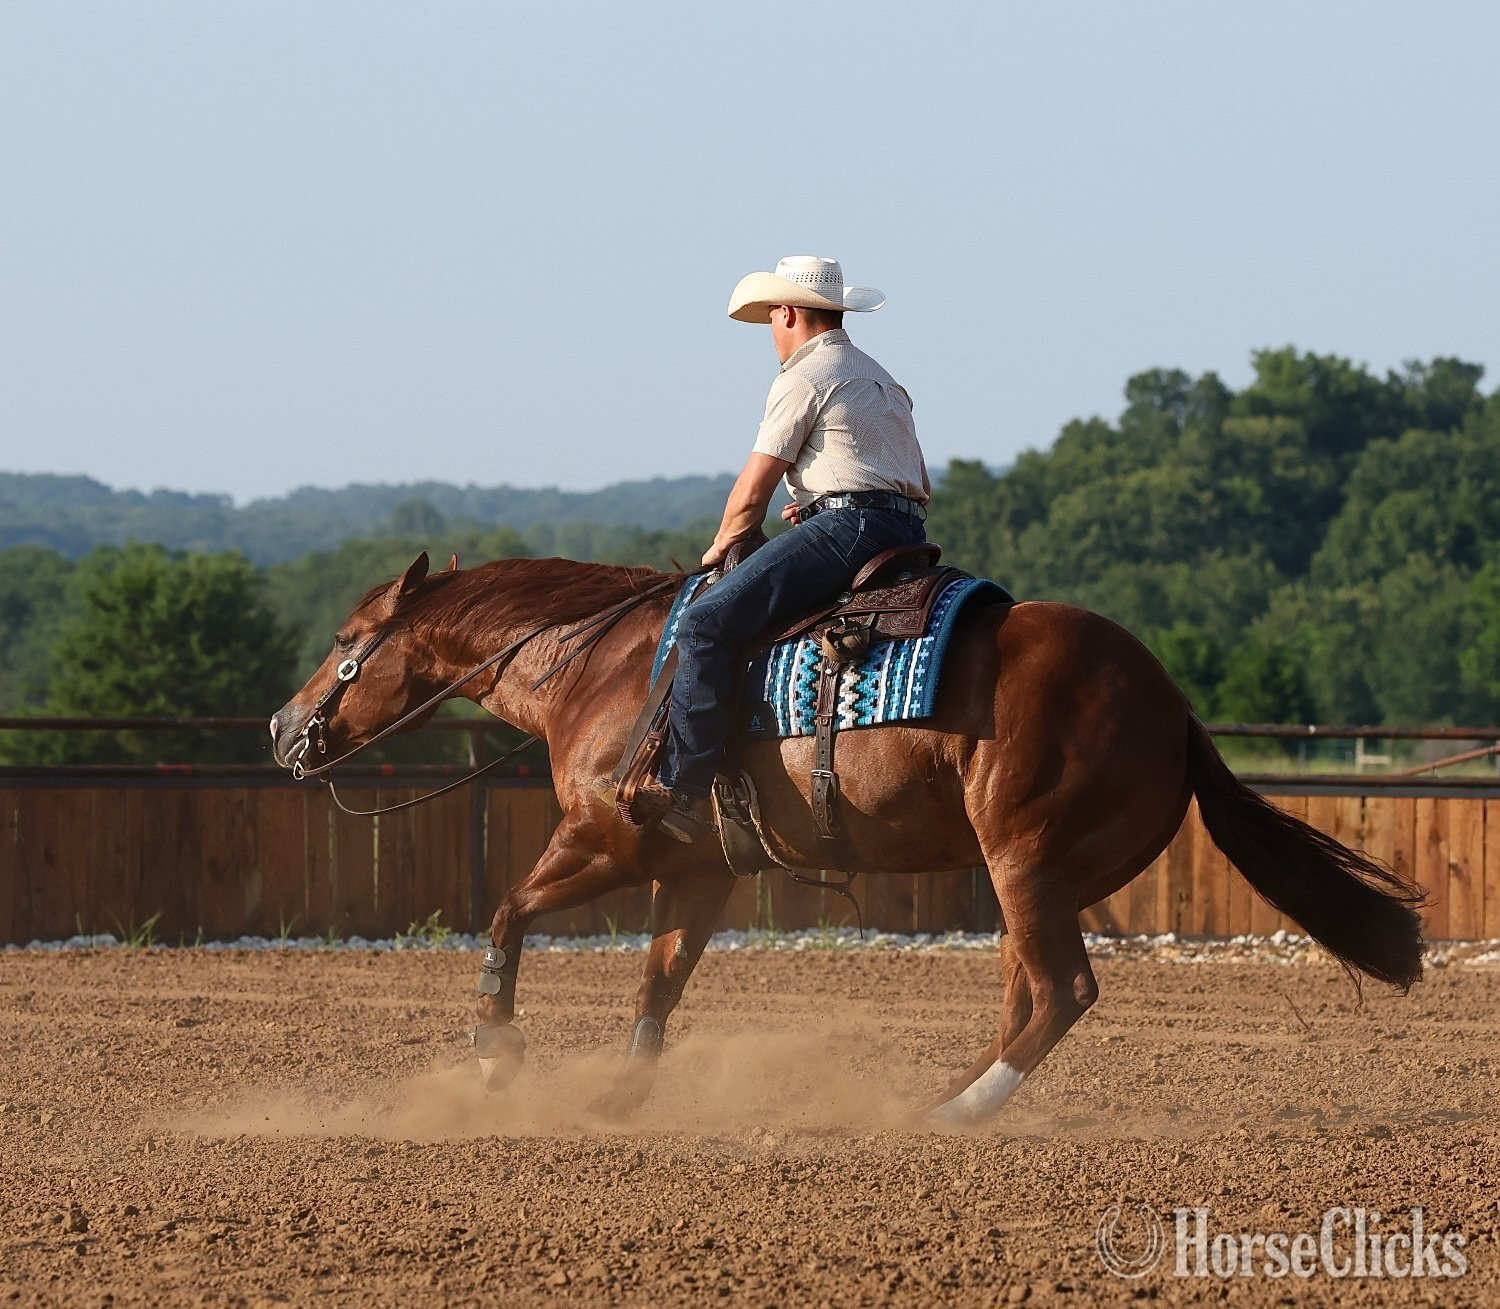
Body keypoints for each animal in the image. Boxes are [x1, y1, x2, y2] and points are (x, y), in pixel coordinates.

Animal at [269, 551, 1425, 1129]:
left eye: (345, 642)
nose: (283, 727)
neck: (606, 668)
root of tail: (1173, 706)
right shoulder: (697, 870)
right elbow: (658, 984)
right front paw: (619, 1097)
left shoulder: (607, 837)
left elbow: (507, 915)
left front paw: (499, 1053)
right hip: (1025, 877)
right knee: (1027, 992)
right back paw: (946, 1094)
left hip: (1025, 861)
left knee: (1061, 989)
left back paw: (955, 1113)